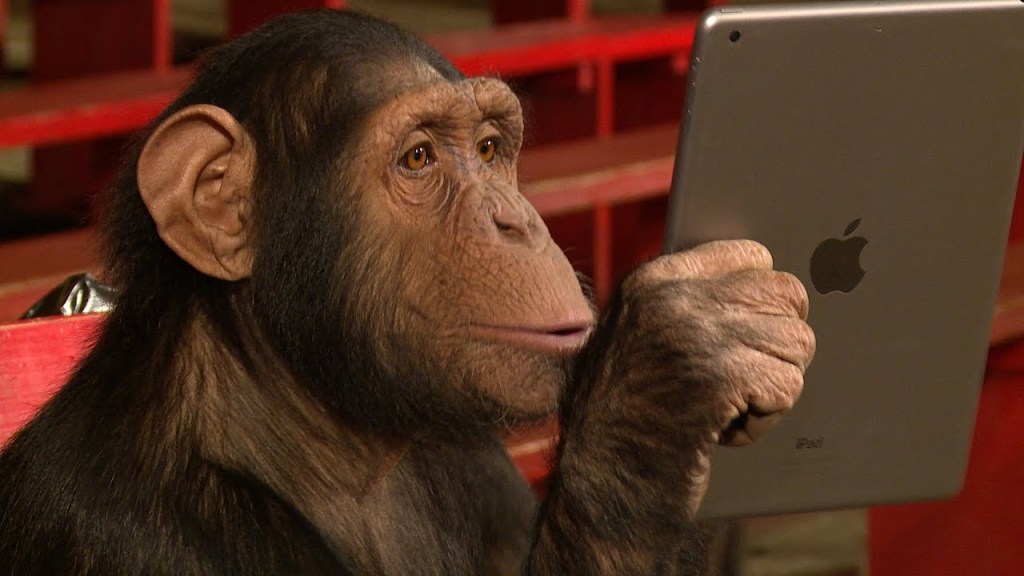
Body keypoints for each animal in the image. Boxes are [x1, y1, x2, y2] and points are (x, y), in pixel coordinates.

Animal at [0, 10, 814, 575]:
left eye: (488, 150)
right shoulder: (148, 538)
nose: (517, 221)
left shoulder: (480, 461)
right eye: (419, 158)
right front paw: (662, 382)